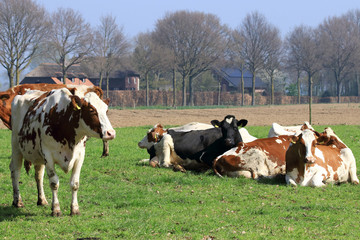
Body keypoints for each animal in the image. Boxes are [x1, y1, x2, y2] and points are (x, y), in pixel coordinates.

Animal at [10, 87, 115, 216]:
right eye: (91, 110)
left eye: (106, 110)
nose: (111, 133)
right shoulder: (48, 156)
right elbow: (54, 183)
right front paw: (56, 209)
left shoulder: (80, 156)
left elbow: (75, 184)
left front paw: (75, 209)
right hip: (16, 148)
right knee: (15, 172)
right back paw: (17, 201)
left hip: (38, 156)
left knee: (38, 175)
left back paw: (42, 200)